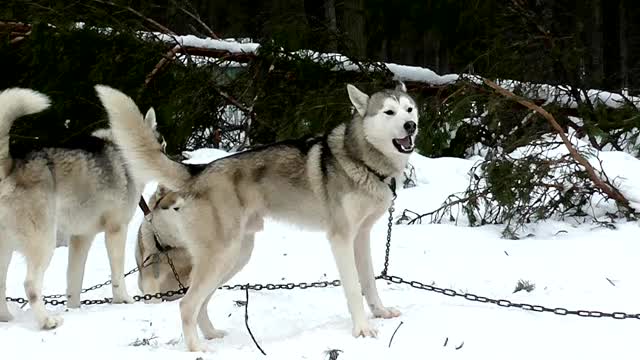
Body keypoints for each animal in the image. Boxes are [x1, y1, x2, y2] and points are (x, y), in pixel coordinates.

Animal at [0, 87, 159, 330]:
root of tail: (10, 166)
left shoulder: (81, 238)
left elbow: (74, 282)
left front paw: (74, 309)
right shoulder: (116, 230)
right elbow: (117, 275)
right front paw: (124, 300)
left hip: (7, 250)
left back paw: (7, 319)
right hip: (44, 243)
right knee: (31, 285)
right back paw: (47, 321)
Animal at [92, 81, 418, 352]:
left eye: (409, 108)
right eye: (389, 112)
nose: (411, 125)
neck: (362, 161)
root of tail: (198, 172)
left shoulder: (361, 237)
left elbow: (369, 283)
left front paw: (380, 313)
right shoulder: (340, 239)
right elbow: (353, 288)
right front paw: (362, 330)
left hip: (235, 257)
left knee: (200, 303)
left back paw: (211, 335)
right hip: (223, 256)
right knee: (186, 304)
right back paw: (197, 349)